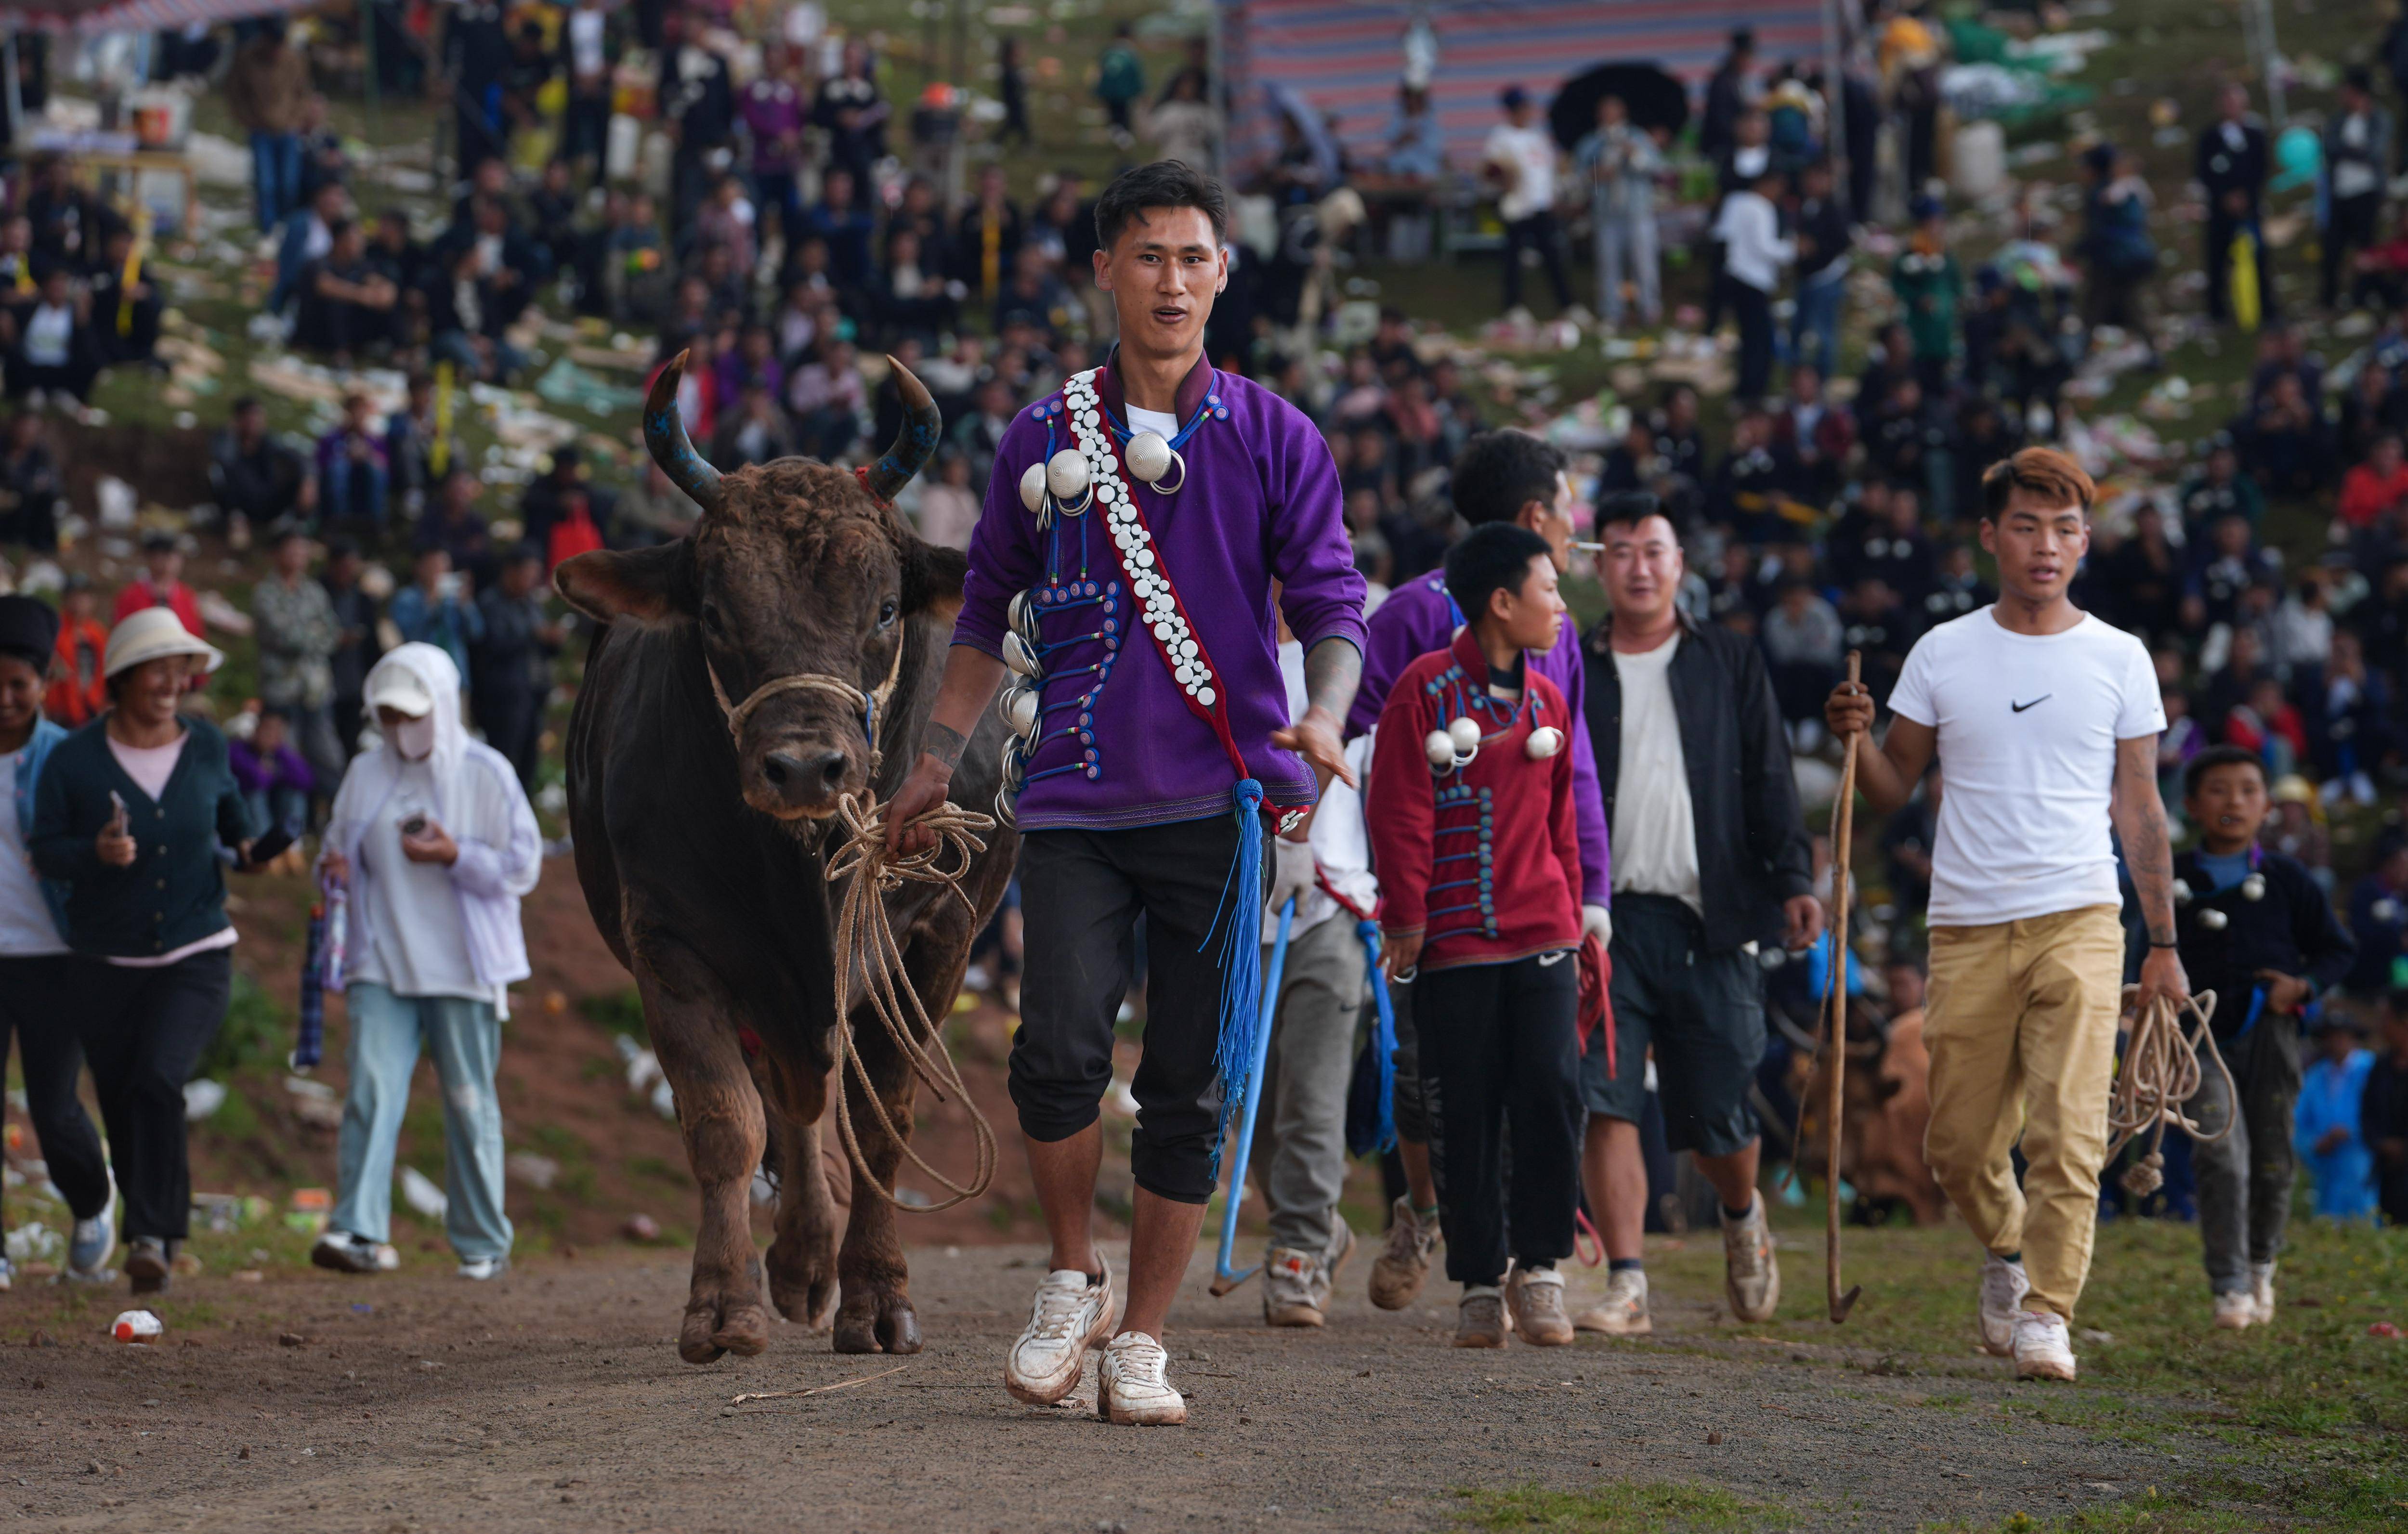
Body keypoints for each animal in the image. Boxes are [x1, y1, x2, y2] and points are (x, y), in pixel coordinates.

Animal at [554, 354, 1016, 1358]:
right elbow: (724, 1121)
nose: (806, 766)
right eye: (715, 609)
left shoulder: (937, 935)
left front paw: (877, 1297)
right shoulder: (671, 944)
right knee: (788, 1104)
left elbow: (885, 1118)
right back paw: (801, 1261)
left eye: (884, 607)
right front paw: (723, 1305)